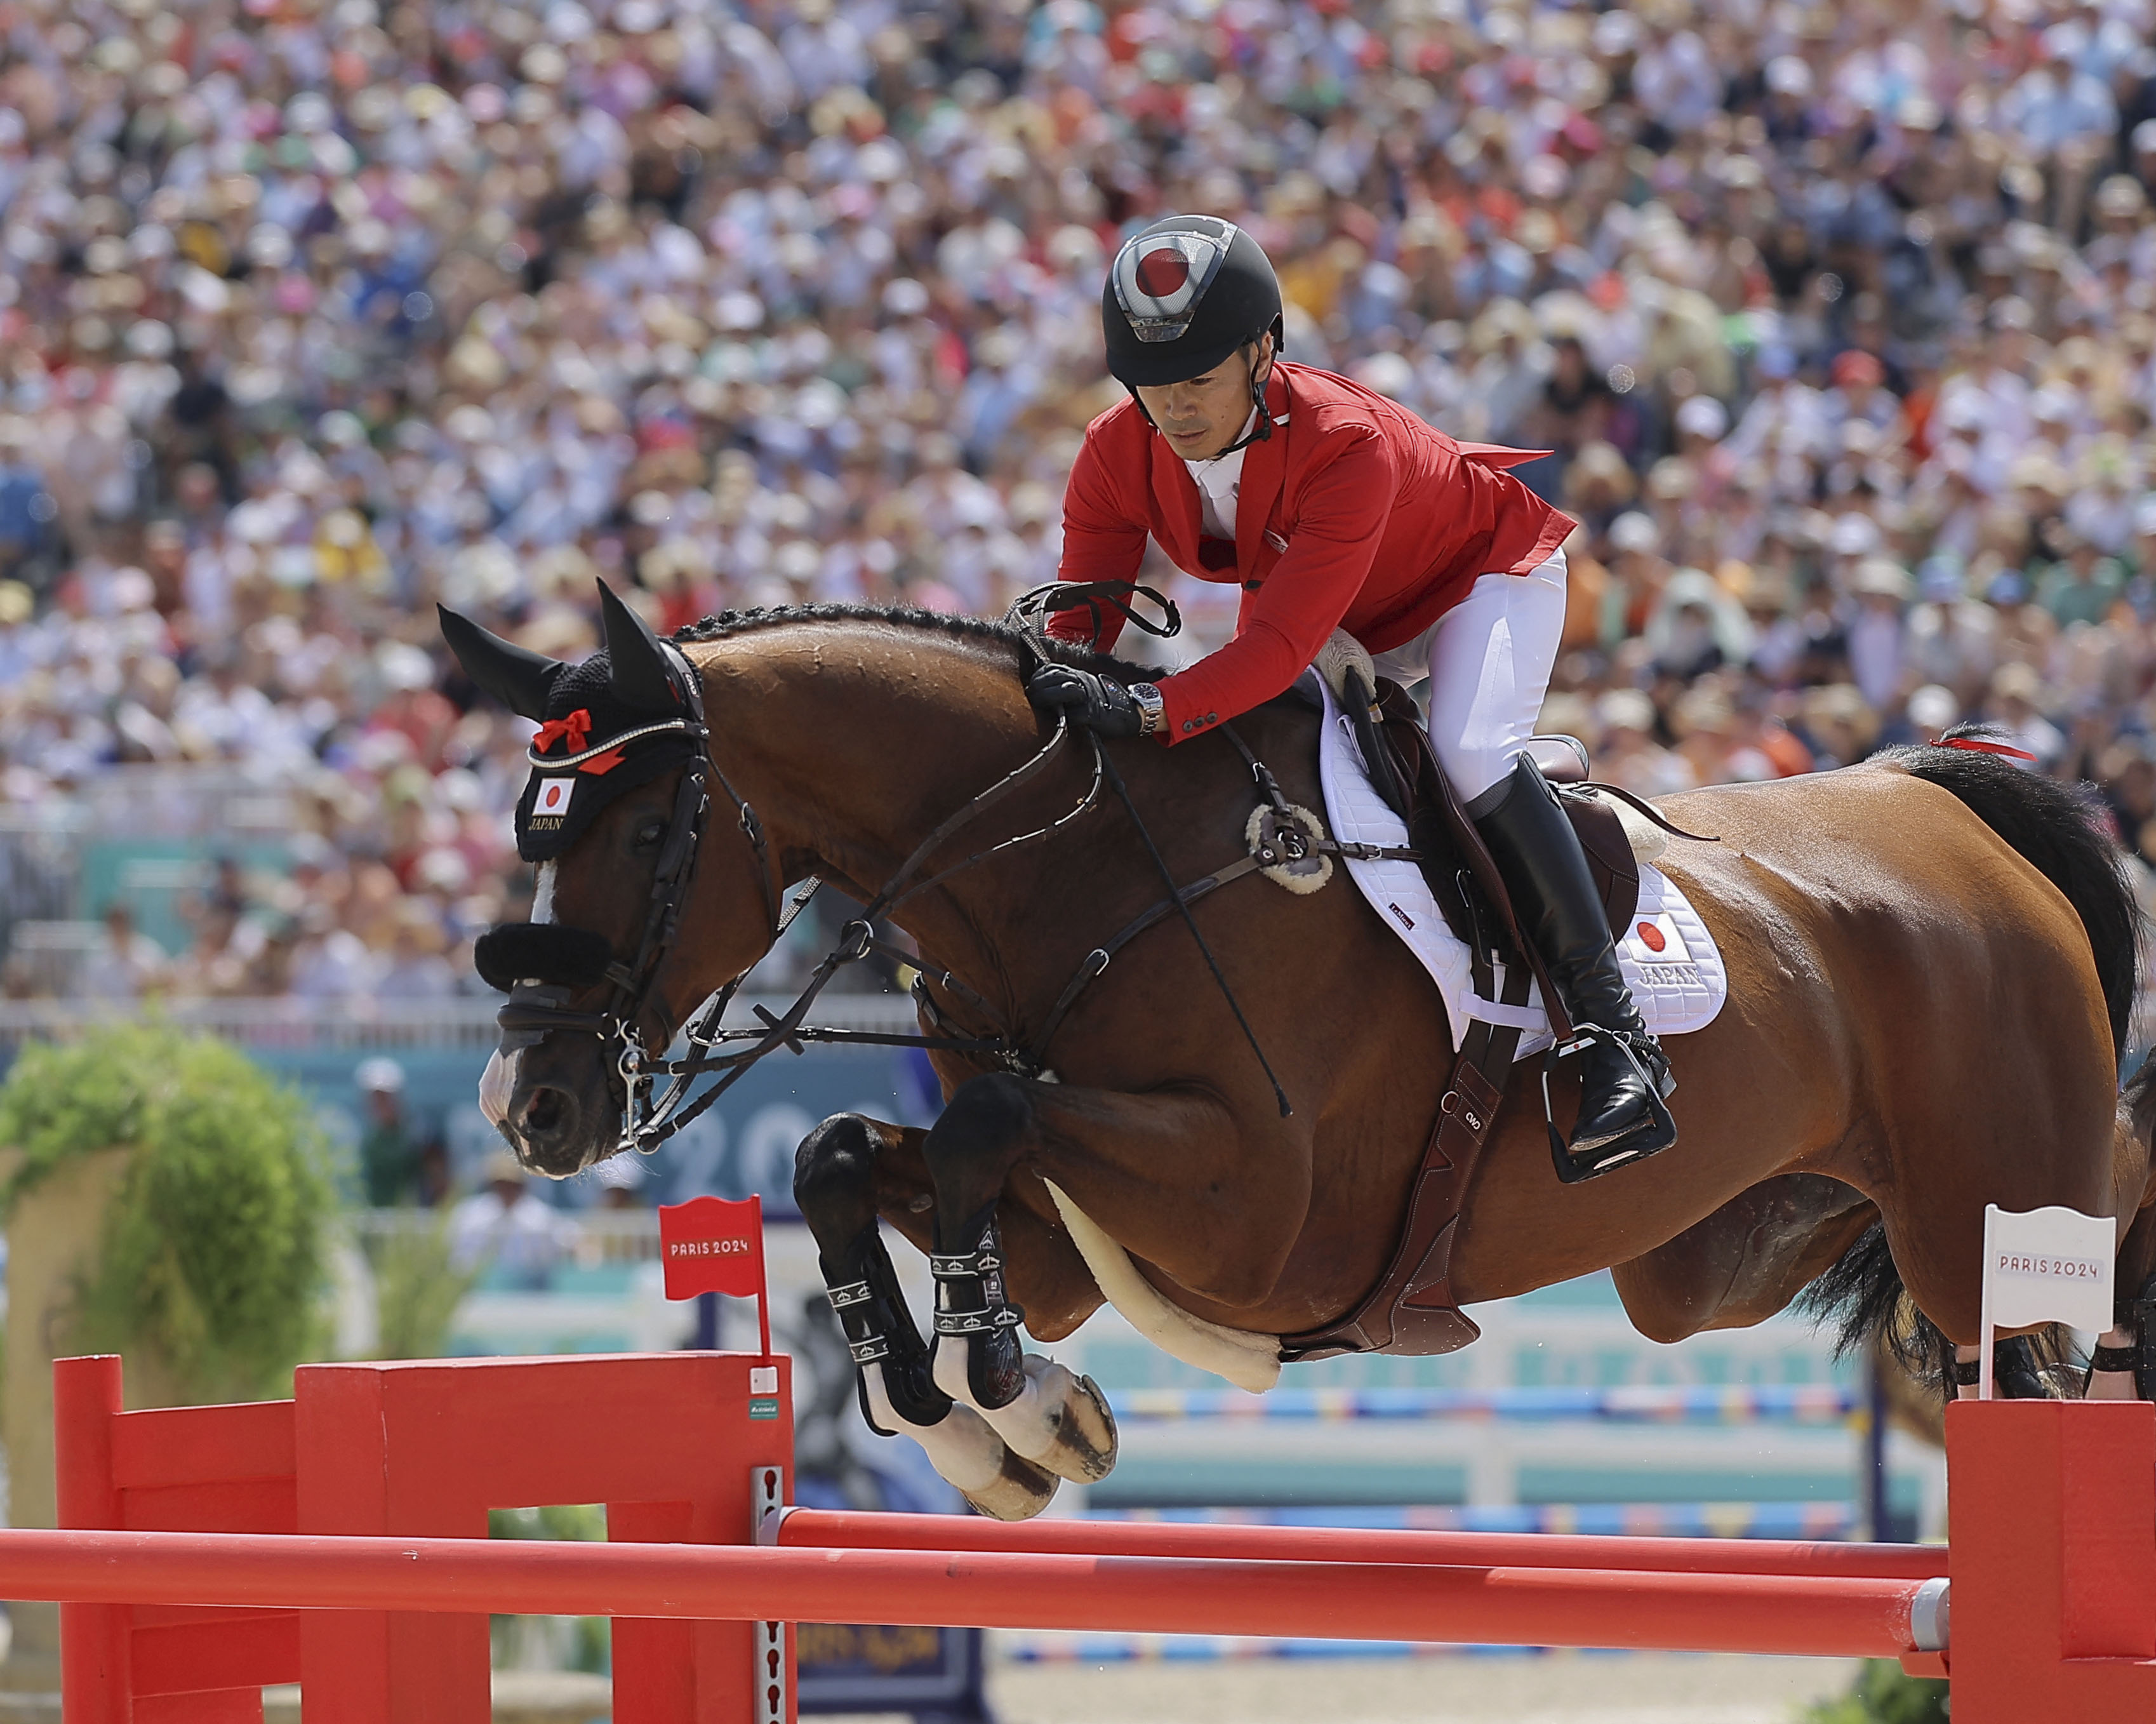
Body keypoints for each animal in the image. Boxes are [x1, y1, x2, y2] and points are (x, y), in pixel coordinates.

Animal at [448, 589, 2156, 1520]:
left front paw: (998, 1382)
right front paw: (1002, 1426)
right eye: (530, 824)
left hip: (1983, 1206)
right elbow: (847, 1157)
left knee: (2073, 1259)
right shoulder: (1073, 1224)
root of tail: (1946, 802)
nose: (533, 1105)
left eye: (640, 831)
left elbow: (991, 1116)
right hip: (1717, 1259)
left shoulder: (1251, 1209)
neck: (1070, 866)